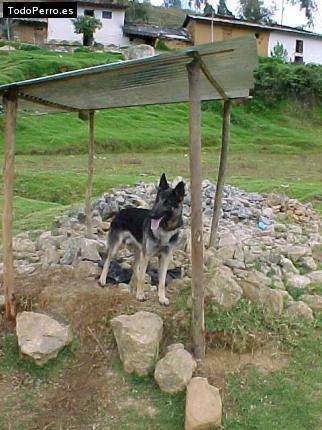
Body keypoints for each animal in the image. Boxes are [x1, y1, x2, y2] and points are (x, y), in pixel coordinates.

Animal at [98, 173, 185, 304]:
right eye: (157, 200)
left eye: (167, 202)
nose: (151, 215)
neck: (164, 229)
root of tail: (121, 211)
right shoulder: (147, 254)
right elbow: (143, 276)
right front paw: (140, 295)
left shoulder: (165, 257)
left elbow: (162, 281)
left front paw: (162, 298)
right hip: (117, 246)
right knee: (108, 260)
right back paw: (102, 280)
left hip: (139, 251)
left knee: (135, 266)